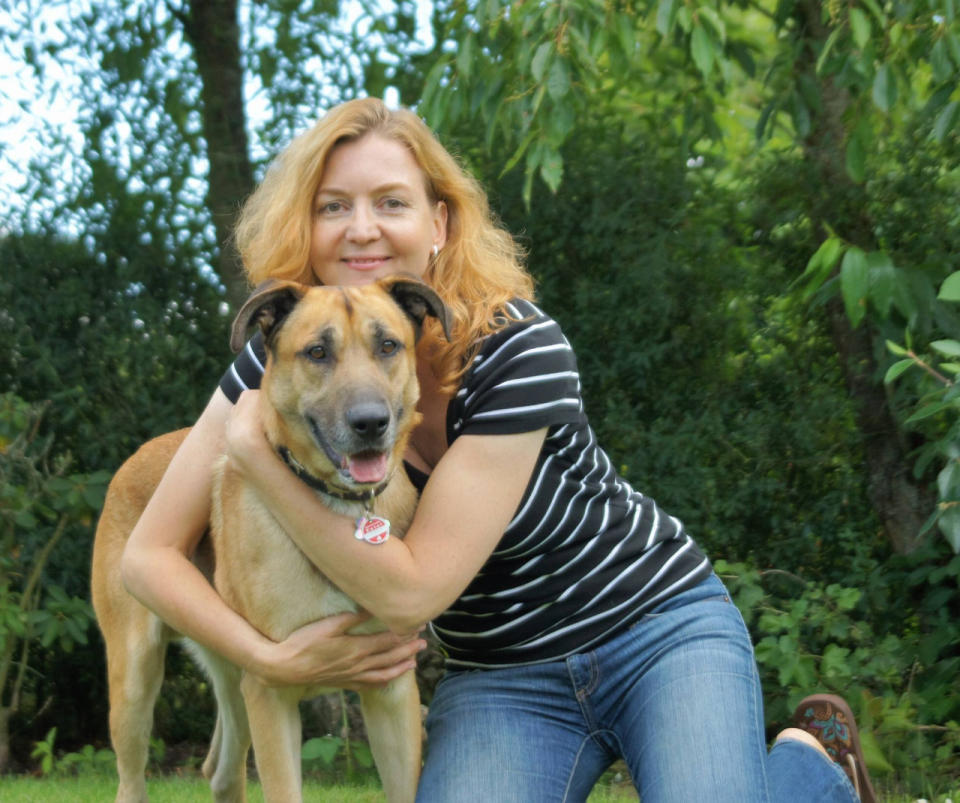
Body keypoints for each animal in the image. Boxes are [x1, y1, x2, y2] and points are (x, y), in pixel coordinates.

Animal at [90, 278, 450, 803]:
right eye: (317, 352)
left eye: (388, 345)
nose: (370, 423)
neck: (343, 506)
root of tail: (137, 453)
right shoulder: (272, 690)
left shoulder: (391, 690)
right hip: (136, 681)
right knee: (132, 780)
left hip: (231, 673)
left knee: (220, 772)